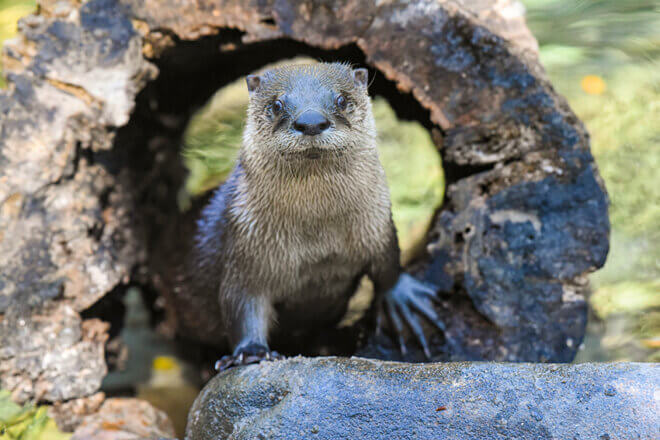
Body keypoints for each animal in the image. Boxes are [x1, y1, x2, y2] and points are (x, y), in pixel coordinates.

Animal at [191, 63, 448, 370]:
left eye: (342, 100)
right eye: (276, 104)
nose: (311, 121)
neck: (317, 237)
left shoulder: (377, 223)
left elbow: (388, 263)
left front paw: (401, 297)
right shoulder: (244, 244)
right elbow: (240, 300)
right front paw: (251, 351)